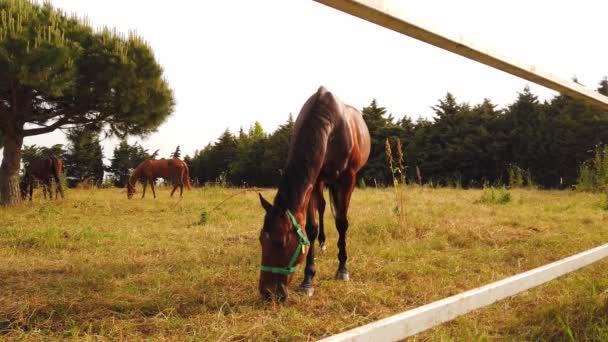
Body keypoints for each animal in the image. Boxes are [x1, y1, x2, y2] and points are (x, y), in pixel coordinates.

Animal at [258, 86, 370, 302]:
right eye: (261, 240)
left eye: (281, 242)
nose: (267, 293)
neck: (331, 125)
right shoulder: (315, 178)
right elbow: (311, 228)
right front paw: (308, 280)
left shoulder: (348, 178)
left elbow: (342, 223)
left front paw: (343, 269)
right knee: (323, 207)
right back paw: (322, 243)